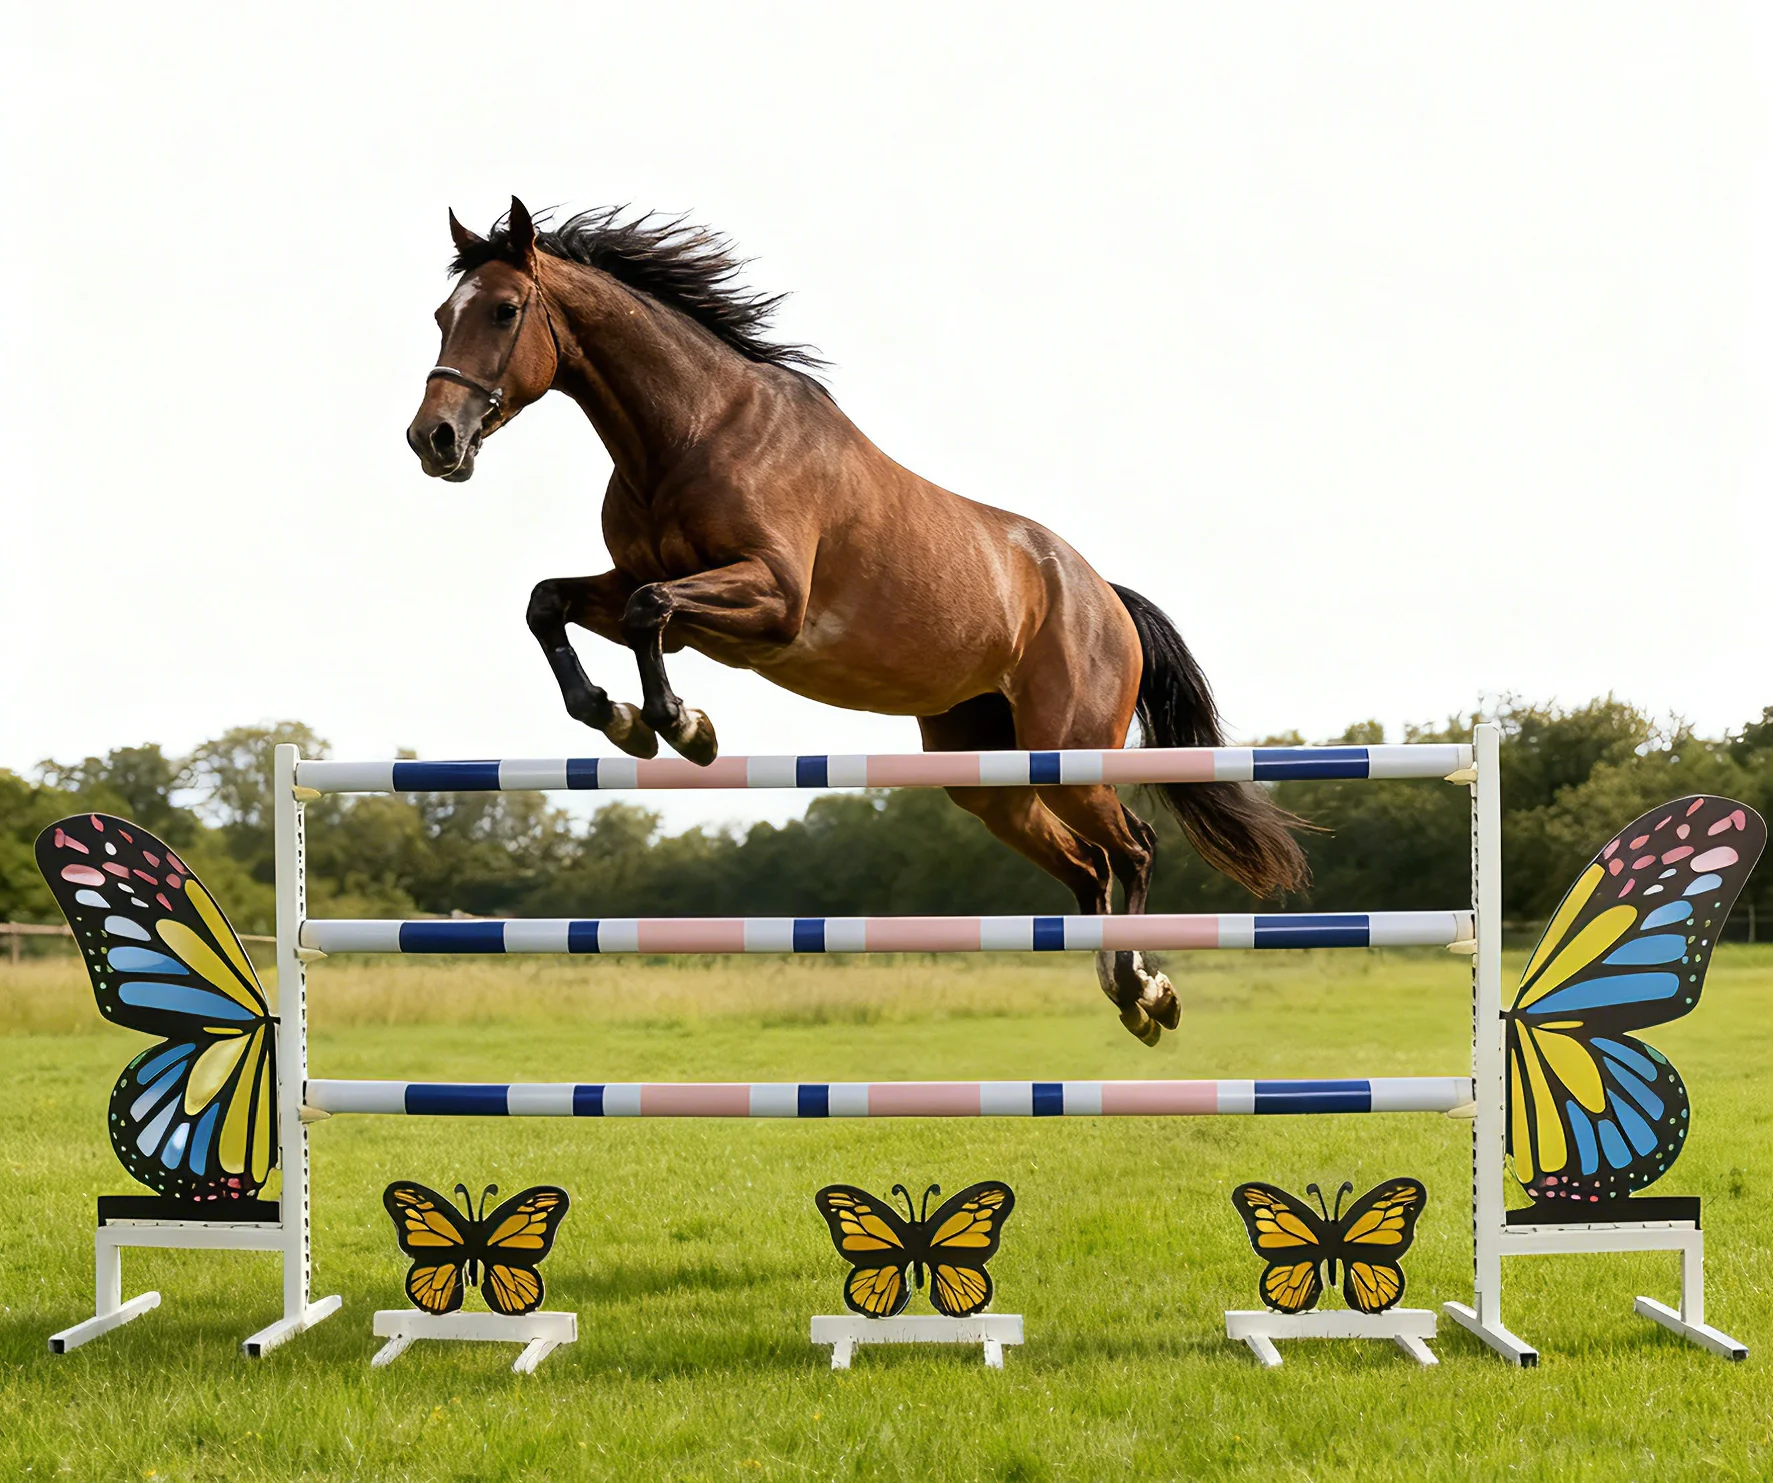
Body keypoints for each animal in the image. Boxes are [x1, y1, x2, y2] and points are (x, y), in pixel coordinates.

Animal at [406, 197, 1308, 1045]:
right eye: (444, 314)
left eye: (505, 311)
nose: (434, 440)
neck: (689, 432)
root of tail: (1105, 596)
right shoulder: (653, 585)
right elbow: (553, 601)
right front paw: (618, 718)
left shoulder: (771, 600)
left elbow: (646, 610)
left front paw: (683, 728)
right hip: (988, 775)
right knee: (1088, 866)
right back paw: (1130, 993)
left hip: (1069, 752)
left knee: (1133, 846)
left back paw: (1142, 989)